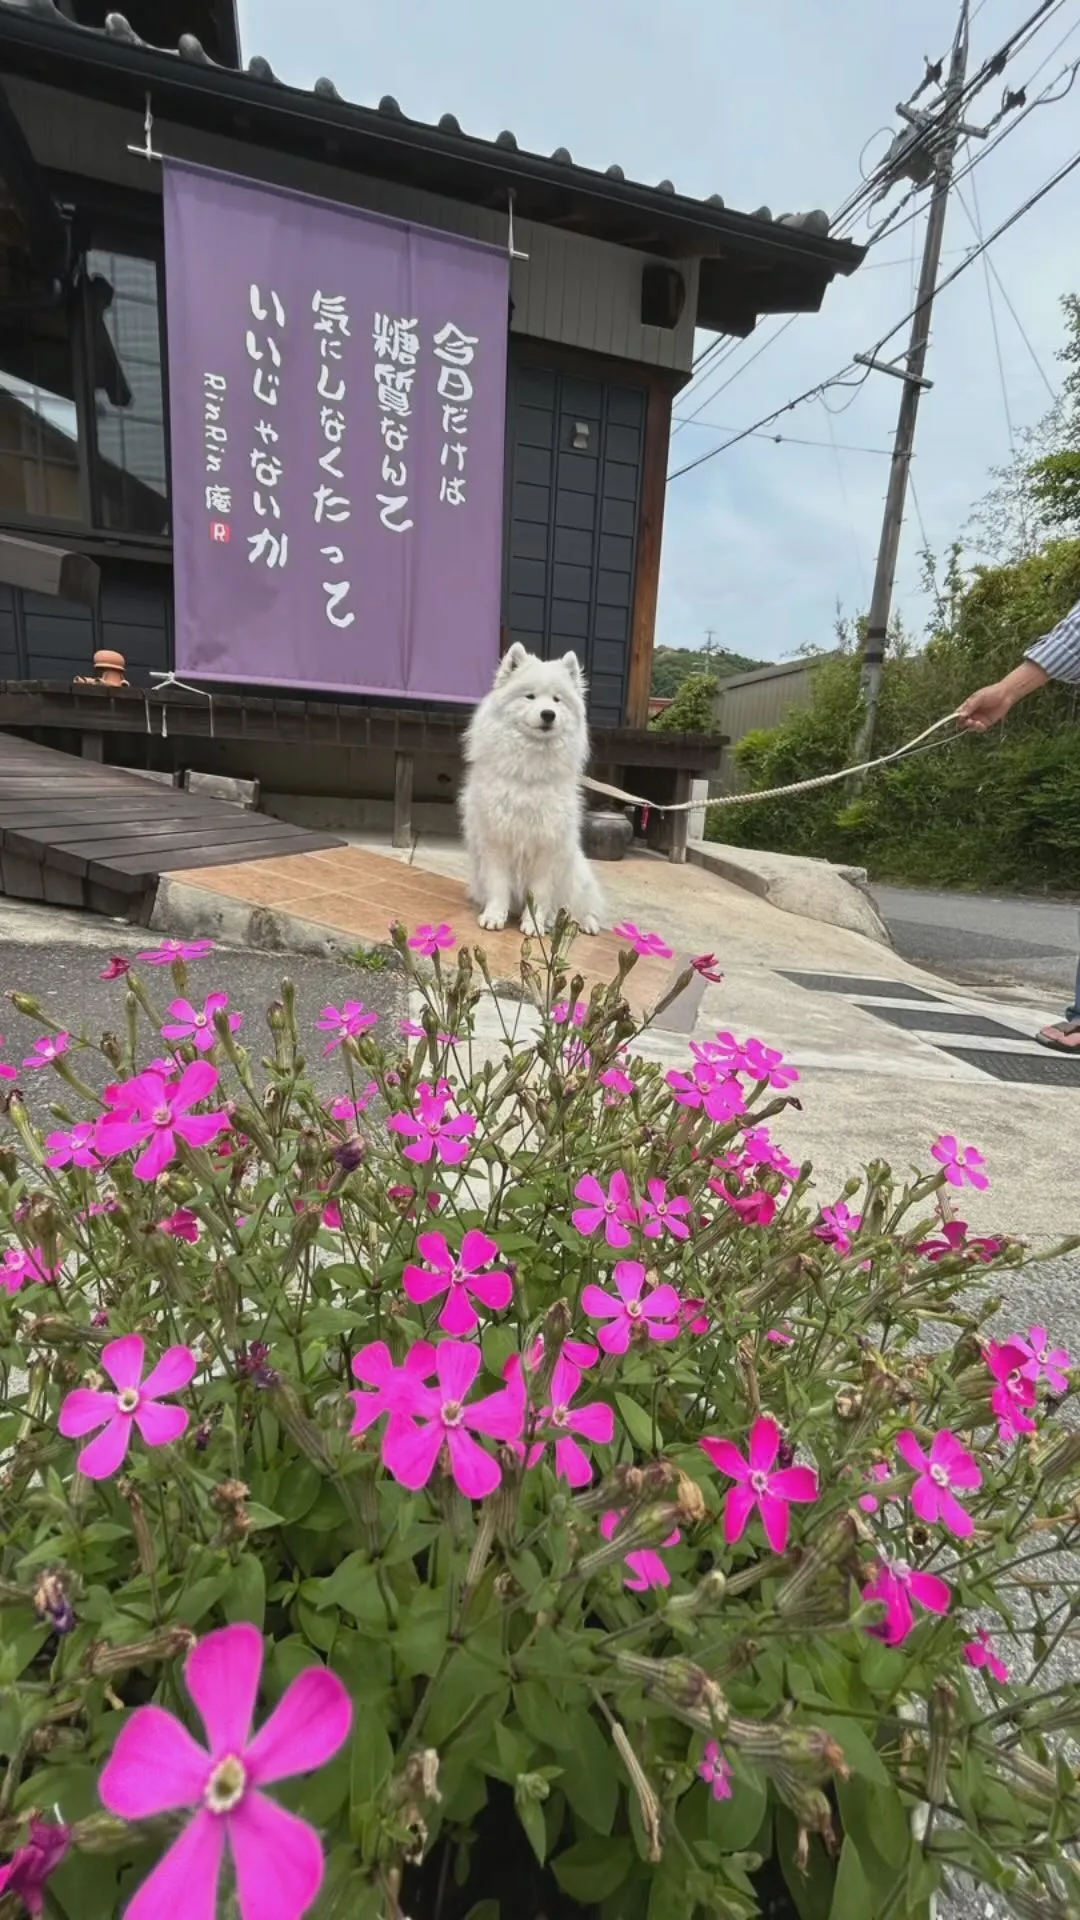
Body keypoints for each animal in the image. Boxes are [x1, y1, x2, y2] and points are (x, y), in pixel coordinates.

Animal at [457, 645, 599, 936]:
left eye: (557, 700)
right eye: (530, 696)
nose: (548, 714)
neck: (529, 772)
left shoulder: (547, 849)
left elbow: (541, 894)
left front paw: (534, 925)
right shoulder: (496, 843)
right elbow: (498, 887)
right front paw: (494, 917)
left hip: (576, 874)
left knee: (579, 906)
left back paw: (585, 922)